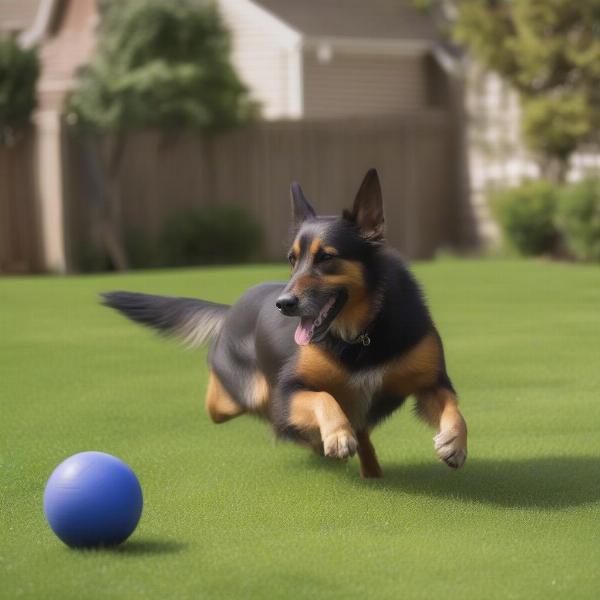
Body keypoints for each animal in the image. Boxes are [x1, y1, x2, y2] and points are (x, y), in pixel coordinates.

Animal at [103, 169, 468, 478]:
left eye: (326, 257)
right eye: (292, 260)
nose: (283, 304)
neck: (360, 335)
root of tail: (231, 309)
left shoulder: (431, 381)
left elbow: (454, 406)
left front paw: (454, 441)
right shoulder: (289, 391)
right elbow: (323, 398)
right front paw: (337, 434)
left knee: (357, 433)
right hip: (245, 394)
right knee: (229, 404)